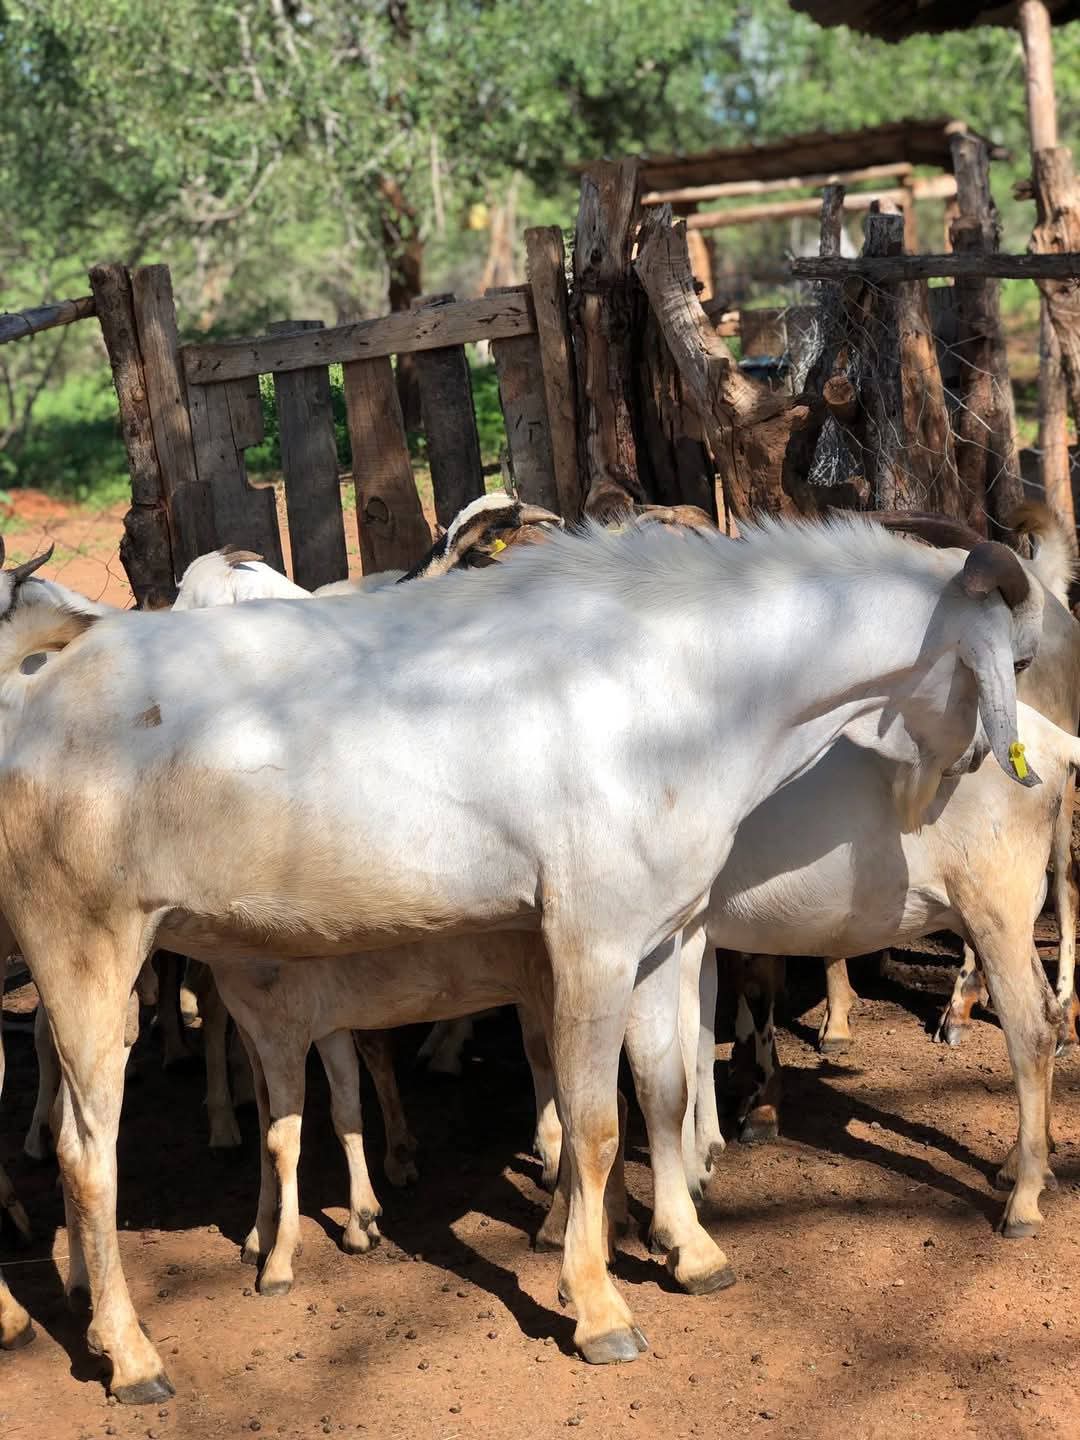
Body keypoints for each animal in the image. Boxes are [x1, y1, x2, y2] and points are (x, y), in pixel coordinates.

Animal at [0, 514, 1043, 1398]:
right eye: (1020, 656)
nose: (986, 768)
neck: (688, 688)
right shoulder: (590, 939)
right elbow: (592, 1125)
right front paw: (601, 1308)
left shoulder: (658, 941)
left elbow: (664, 1091)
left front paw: (692, 1252)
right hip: (81, 944)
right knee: (84, 1152)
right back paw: (130, 1354)